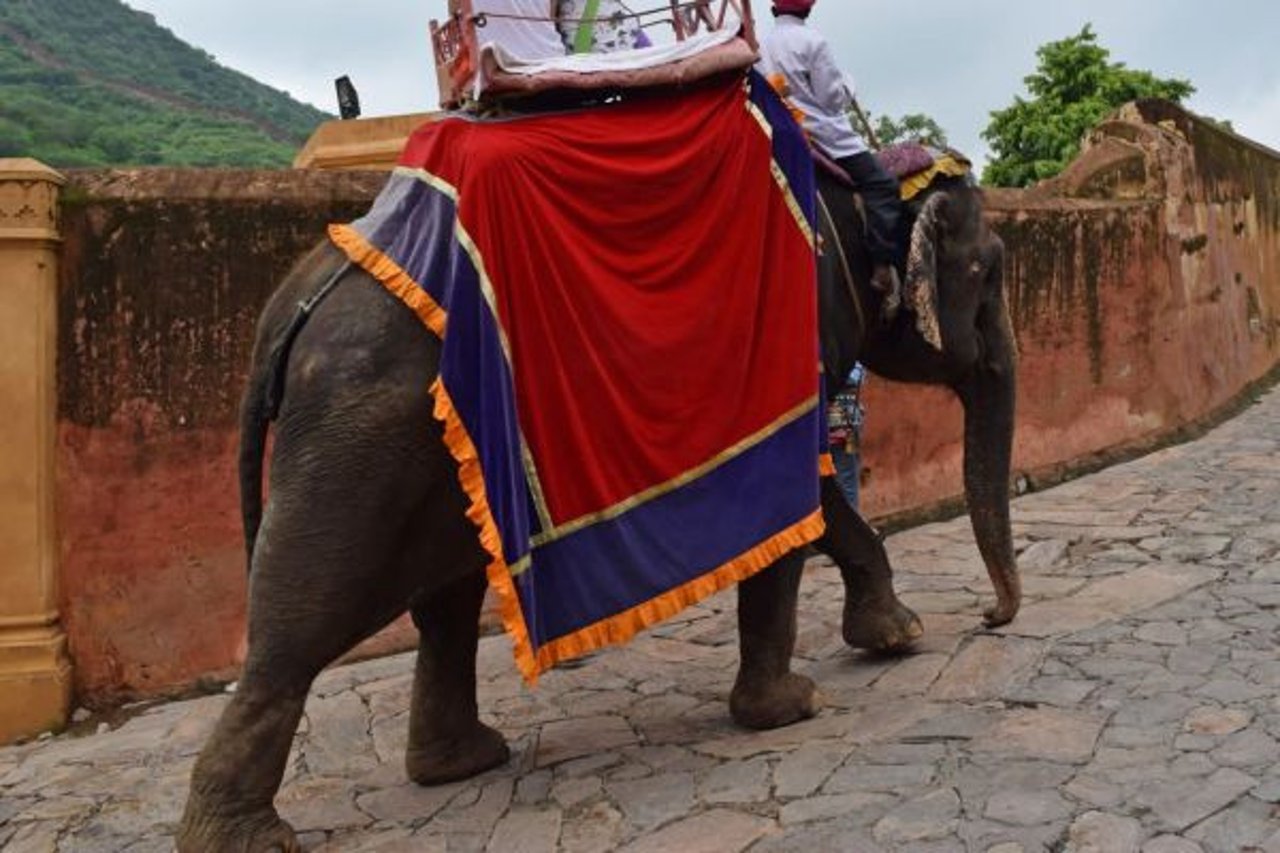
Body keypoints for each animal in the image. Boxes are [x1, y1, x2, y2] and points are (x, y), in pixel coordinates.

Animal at [177, 167, 1018, 850]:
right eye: (991, 272)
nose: (989, 618)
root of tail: (287, 312)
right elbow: (793, 497)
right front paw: (800, 703)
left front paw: (891, 638)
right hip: (361, 438)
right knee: (308, 618)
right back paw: (249, 838)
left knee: (442, 603)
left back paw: (462, 761)